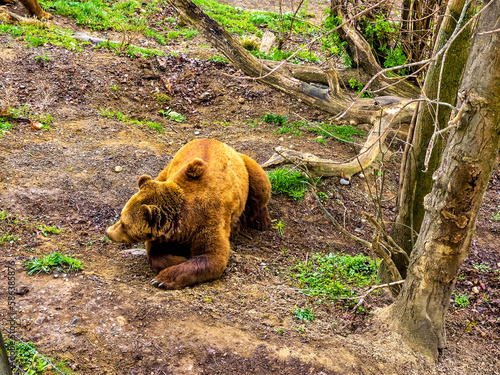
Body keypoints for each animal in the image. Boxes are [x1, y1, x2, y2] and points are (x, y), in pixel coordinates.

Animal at [105, 140, 270, 290]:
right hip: (167, 169)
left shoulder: (208, 222)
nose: (108, 232)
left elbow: (213, 257)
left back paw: (262, 221)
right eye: (121, 216)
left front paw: (162, 279)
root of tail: (218, 141)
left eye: (124, 224)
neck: (184, 224)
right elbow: (155, 252)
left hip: (246, 168)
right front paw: (178, 258)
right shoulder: (163, 235)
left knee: (260, 184)